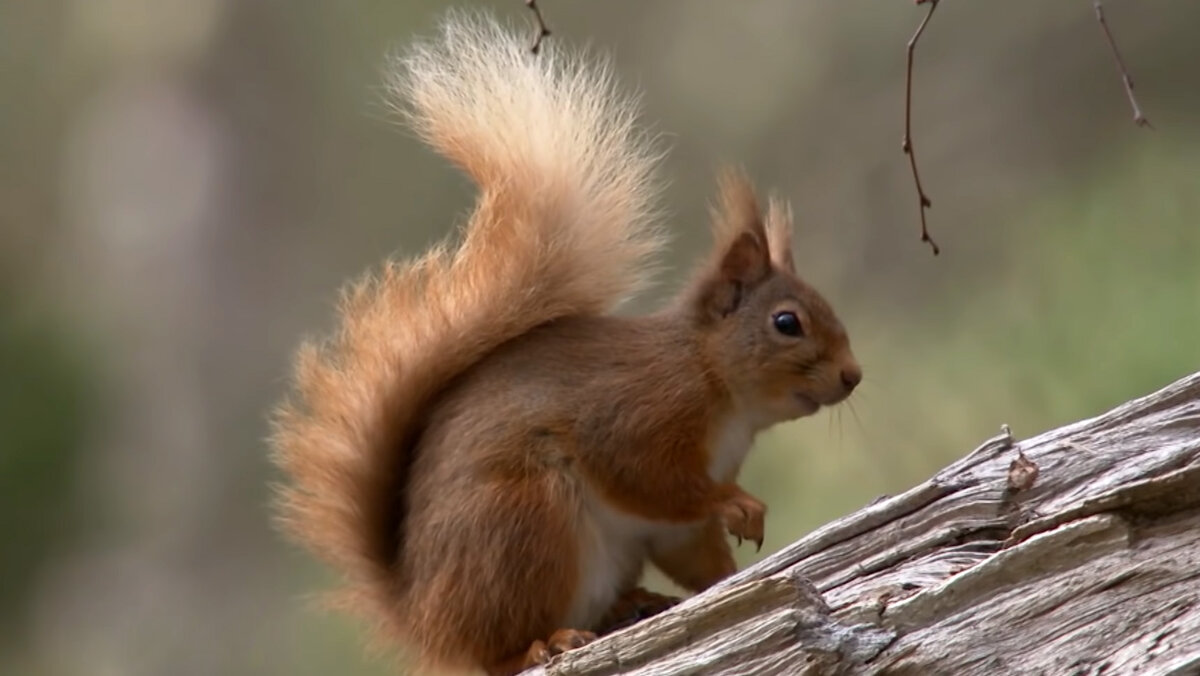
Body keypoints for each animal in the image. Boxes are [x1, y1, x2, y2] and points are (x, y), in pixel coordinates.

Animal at [270, 11, 864, 676]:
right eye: (787, 323)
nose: (853, 374)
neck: (714, 382)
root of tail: (426, 621)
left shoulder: (684, 511)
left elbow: (692, 550)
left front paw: (732, 580)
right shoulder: (635, 415)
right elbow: (650, 480)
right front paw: (738, 504)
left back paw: (630, 605)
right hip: (525, 520)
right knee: (499, 653)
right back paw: (545, 642)